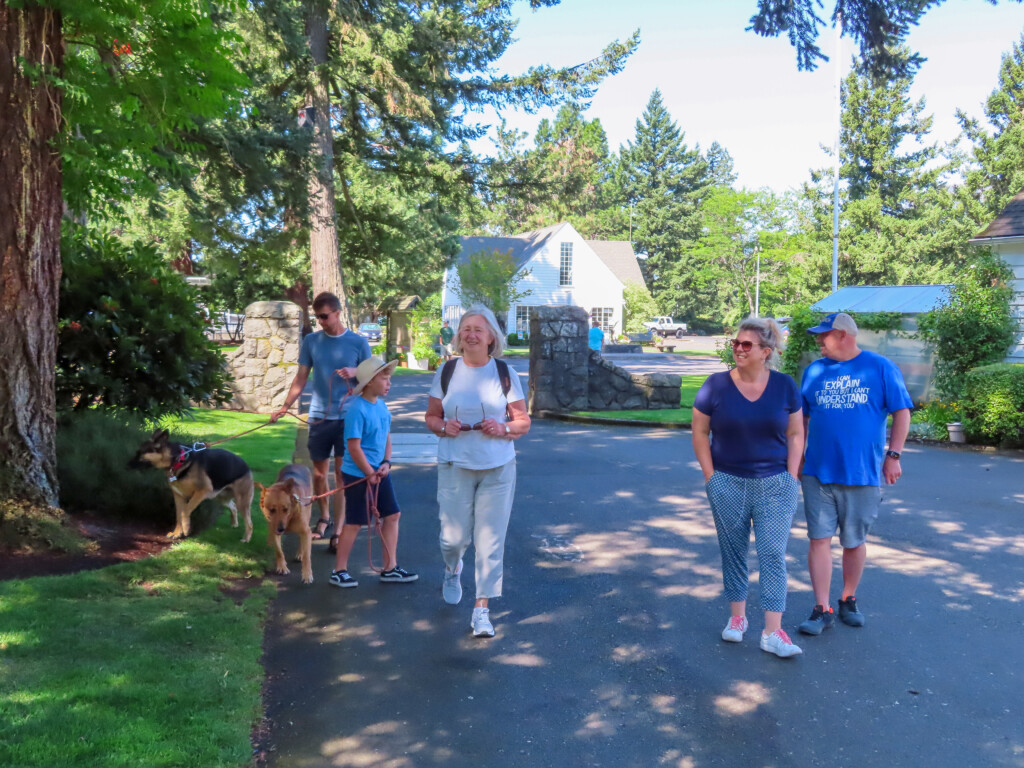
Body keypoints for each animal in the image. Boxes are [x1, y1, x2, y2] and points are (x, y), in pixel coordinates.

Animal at [128, 430, 256, 544]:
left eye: (140, 453)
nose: (126, 465)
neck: (178, 460)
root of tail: (246, 466)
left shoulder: (201, 493)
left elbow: (185, 511)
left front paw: (186, 529)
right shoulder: (179, 497)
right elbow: (178, 515)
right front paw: (177, 533)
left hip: (242, 502)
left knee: (249, 523)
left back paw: (246, 539)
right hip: (222, 498)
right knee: (233, 507)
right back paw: (234, 524)